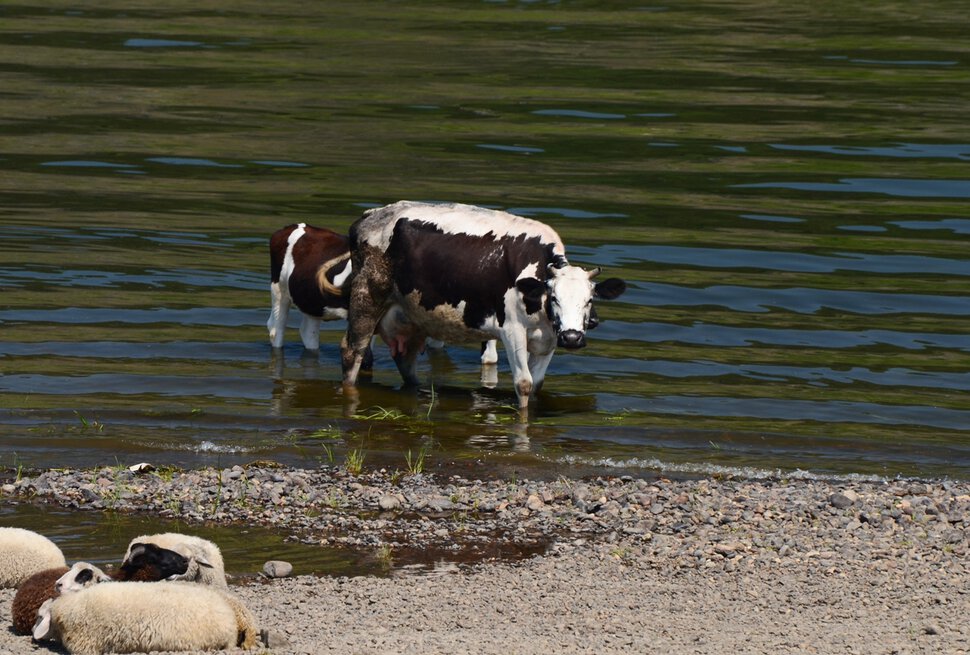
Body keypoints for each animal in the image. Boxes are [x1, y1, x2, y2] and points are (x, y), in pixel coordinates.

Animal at [340, 201, 628, 404]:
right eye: (554, 298)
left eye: (589, 300)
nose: (572, 338)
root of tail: (370, 216)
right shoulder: (512, 329)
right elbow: (523, 384)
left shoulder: (548, 337)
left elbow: (536, 384)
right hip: (367, 298)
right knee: (353, 352)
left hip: (412, 315)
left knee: (405, 360)